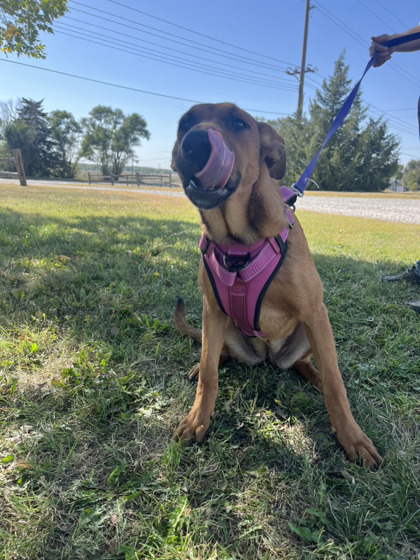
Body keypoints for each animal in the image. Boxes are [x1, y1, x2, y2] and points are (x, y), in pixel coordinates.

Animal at [172, 101, 382, 468]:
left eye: (238, 123)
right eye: (185, 123)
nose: (194, 143)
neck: (238, 242)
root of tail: (268, 356)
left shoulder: (314, 311)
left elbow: (336, 385)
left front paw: (352, 437)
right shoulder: (212, 309)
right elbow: (210, 375)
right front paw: (198, 417)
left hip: (313, 330)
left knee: (309, 365)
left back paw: (314, 376)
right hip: (224, 326)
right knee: (217, 353)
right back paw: (205, 363)